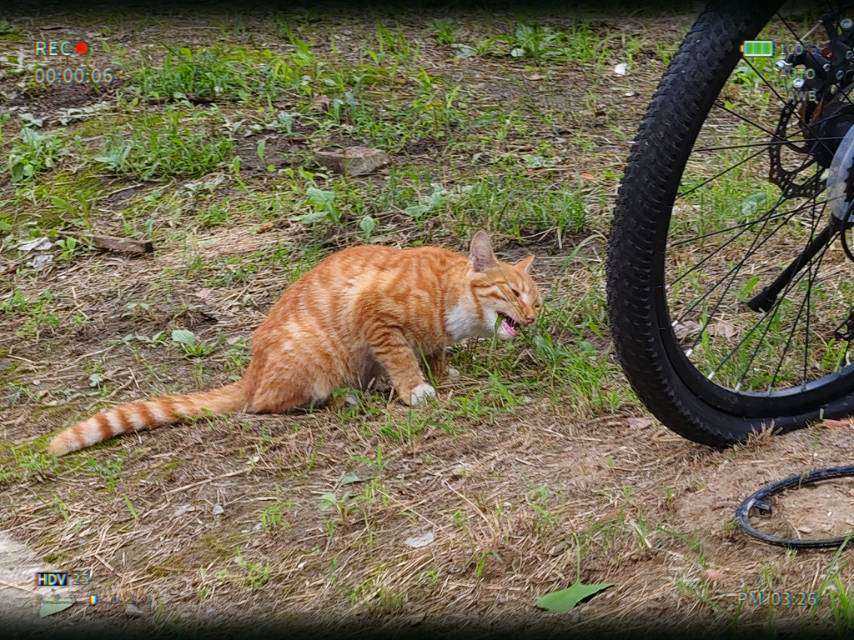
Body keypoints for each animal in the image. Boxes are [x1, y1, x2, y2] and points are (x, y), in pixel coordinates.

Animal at [47, 230, 541, 456]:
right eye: (514, 293)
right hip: (314, 358)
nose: (533, 317)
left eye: (536, 299)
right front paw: (416, 388)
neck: (449, 300)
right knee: (265, 405)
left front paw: (441, 373)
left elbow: (433, 353)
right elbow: (403, 360)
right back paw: (343, 399)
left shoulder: (430, 339)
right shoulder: (377, 319)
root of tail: (250, 374)